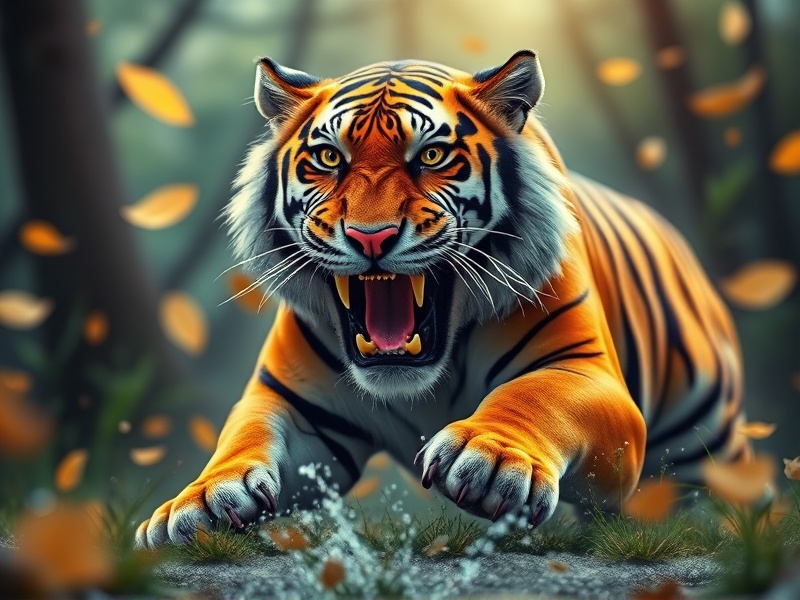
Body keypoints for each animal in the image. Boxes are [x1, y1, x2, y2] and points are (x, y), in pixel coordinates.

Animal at [135, 50, 750, 548]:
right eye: (330, 159)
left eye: (430, 156)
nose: (371, 237)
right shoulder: (289, 403)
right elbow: (242, 434)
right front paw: (201, 501)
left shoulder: (586, 374)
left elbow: (535, 394)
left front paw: (491, 457)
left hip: (712, 442)